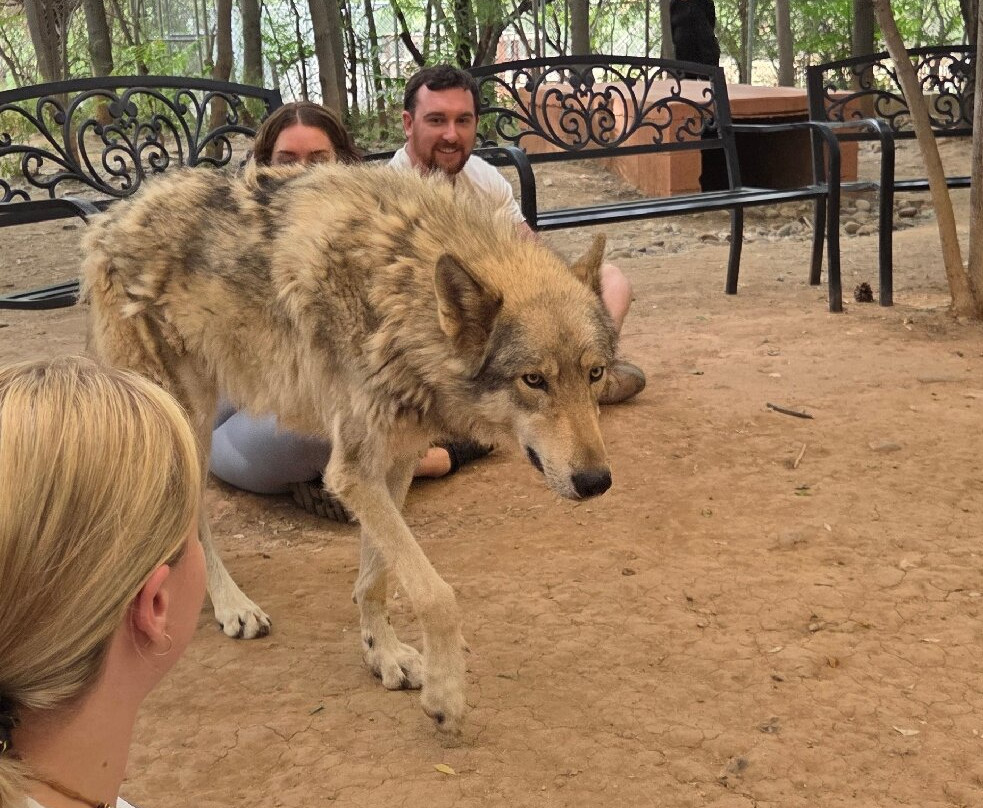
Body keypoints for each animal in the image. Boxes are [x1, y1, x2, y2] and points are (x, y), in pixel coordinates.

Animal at [81, 162, 616, 734]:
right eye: (533, 380)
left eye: (595, 374)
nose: (596, 482)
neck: (399, 295)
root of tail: (109, 217)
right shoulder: (352, 471)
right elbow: (436, 593)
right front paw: (445, 694)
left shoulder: (393, 462)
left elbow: (375, 578)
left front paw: (383, 654)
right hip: (187, 419)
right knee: (195, 519)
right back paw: (230, 605)